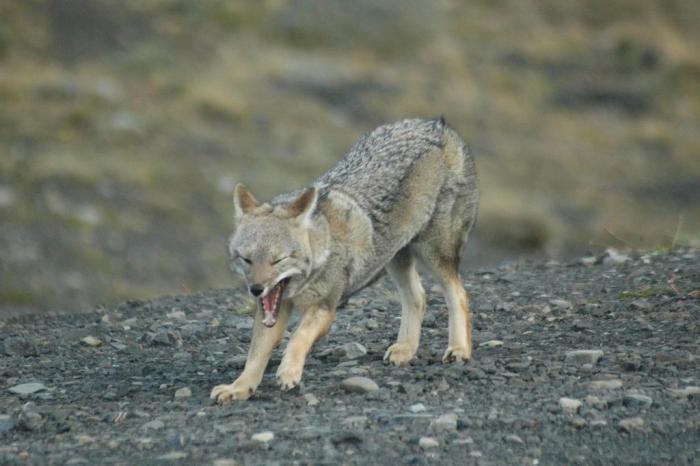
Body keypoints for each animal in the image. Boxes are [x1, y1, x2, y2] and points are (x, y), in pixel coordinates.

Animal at [211, 117, 478, 404]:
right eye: (247, 259)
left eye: (278, 260)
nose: (256, 289)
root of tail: (436, 125)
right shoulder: (272, 310)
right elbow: (256, 354)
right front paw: (239, 388)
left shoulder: (325, 307)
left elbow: (298, 336)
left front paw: (289, 370)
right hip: (394, 257)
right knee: (418, 296)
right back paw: (406, 349)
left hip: (433, 253)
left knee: (458, 294)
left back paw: (459, 349)